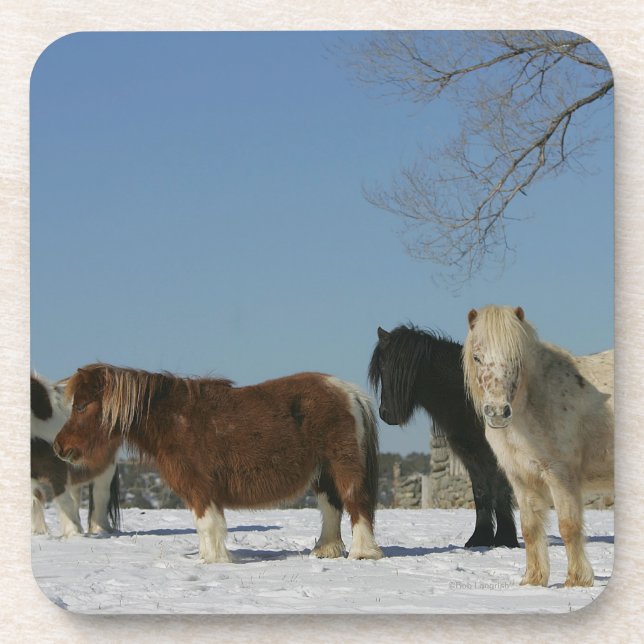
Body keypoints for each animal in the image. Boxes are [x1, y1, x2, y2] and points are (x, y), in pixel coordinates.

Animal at [31, 372, 120, 536]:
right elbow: (35, 498)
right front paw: (38, 532)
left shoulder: (58, 469)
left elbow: (64, 500)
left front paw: (74, 533)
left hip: (107, 467)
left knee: (100, 495)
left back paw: (100, 529)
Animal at [52, 364, 383, 563]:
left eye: (81, 406)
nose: (59, 447)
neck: (174, 421)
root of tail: (349, 392)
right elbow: (204, 526)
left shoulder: (200, 488)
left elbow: (207, 524)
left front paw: (214, 560)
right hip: (323, 473)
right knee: (331, 508)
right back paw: (325, 551)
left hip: (344, 467)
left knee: (357, 504)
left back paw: (363, 553)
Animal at [368, 325, 519, 549]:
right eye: (381, 369)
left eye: (390, 368)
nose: (386, 413)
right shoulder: (471, 454)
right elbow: (480, 491)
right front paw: (479, 538)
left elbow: (500, 488)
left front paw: (505, 539)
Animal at [463, 305, 614, 587]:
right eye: (477, 357)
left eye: (516, 357)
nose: (497, 412)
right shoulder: (521, 479)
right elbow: (530, 529)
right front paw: (533, 580)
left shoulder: (560, 475)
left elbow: (568, 526)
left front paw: (576, 581)